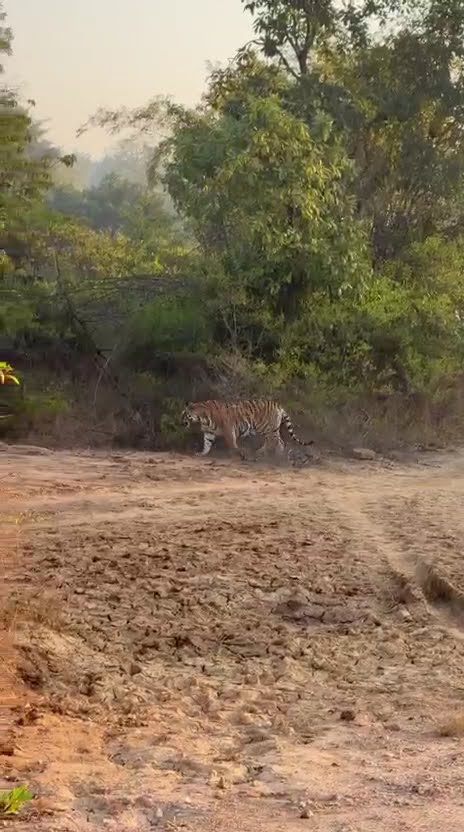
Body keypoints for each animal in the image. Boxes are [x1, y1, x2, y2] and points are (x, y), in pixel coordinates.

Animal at [181, 399, 313, 458]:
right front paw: (202, 453)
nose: (181, 422)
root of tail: (277, 404)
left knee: (276, 441)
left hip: (266, 428)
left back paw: (273, 455)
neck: (202, 417)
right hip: (271, 429)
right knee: (277, 441)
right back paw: (268, 453)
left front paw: (237, 453)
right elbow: (207, 444)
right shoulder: (208, 432)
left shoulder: (228, 429)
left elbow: (232, 443)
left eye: (184, 415)